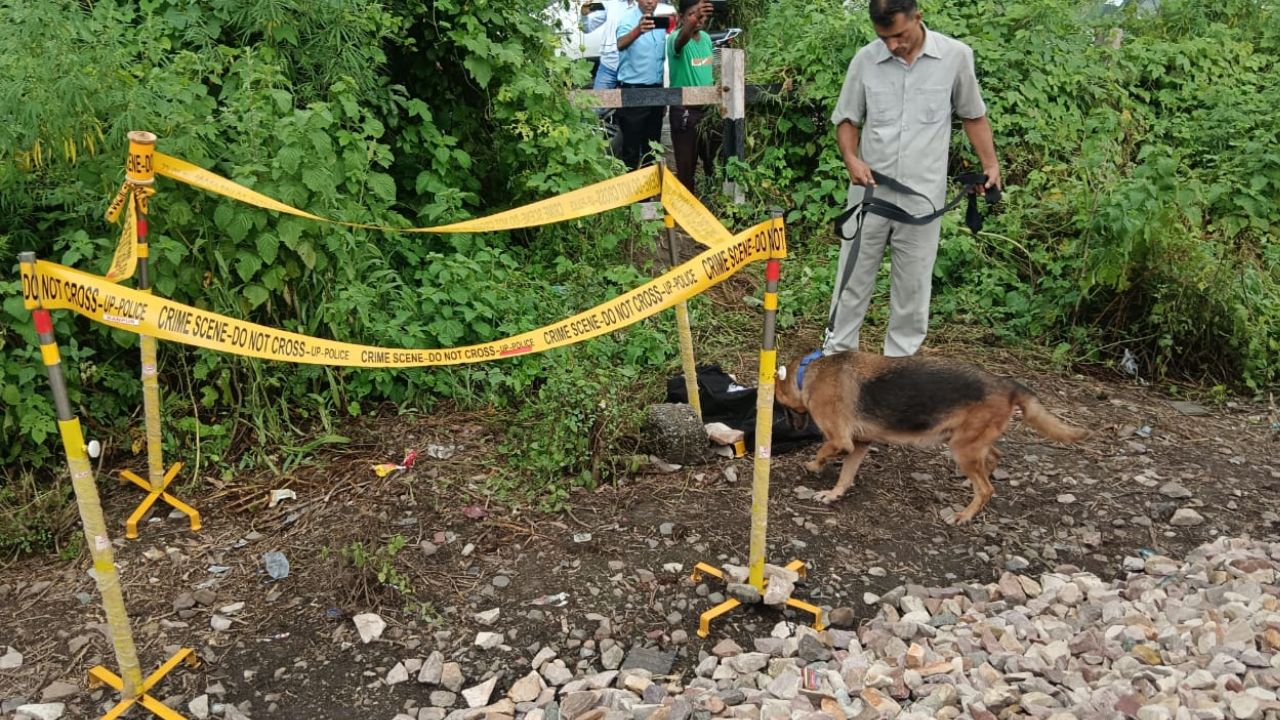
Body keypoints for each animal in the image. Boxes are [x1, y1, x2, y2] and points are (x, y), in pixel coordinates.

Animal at [773, 348, 1085, 520]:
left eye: (779, 403)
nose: (792, 428)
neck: (808, 371)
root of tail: (1008, 385)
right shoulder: (859, 445)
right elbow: (846, 476)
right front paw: (833, 494)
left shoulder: (842, 441)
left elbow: (823, 451)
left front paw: (813, 465)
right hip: (967, 442)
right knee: (993, 458)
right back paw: (970, 484)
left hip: (962, 447)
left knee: (986, 489)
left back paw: (965, 515)